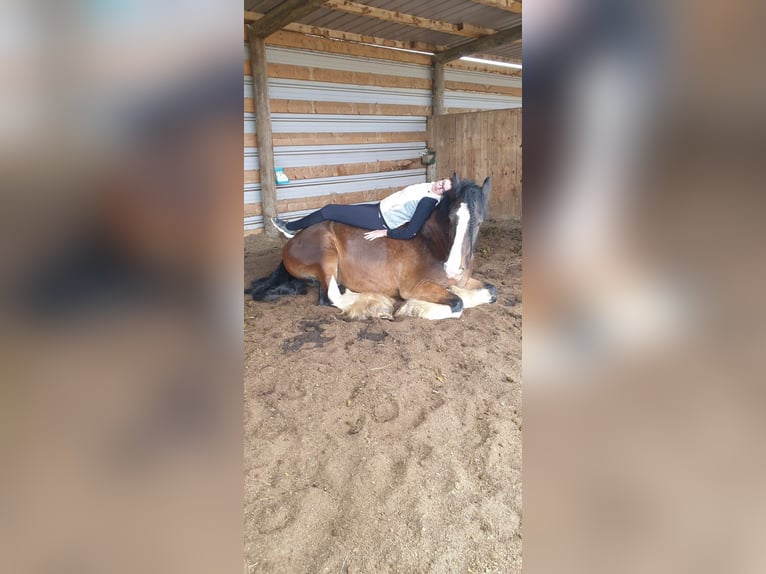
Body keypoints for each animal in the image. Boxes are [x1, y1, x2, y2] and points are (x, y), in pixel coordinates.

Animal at [246, 173, 498, 322]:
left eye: (480, 221)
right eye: (451, 218)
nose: (453, 268)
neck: (434, 243)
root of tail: (292, 241)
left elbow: (491, 291)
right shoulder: (415, 286)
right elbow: (458, 304)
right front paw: (413, 308)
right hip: (326, 255)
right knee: (330, 297)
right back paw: (375, 304)